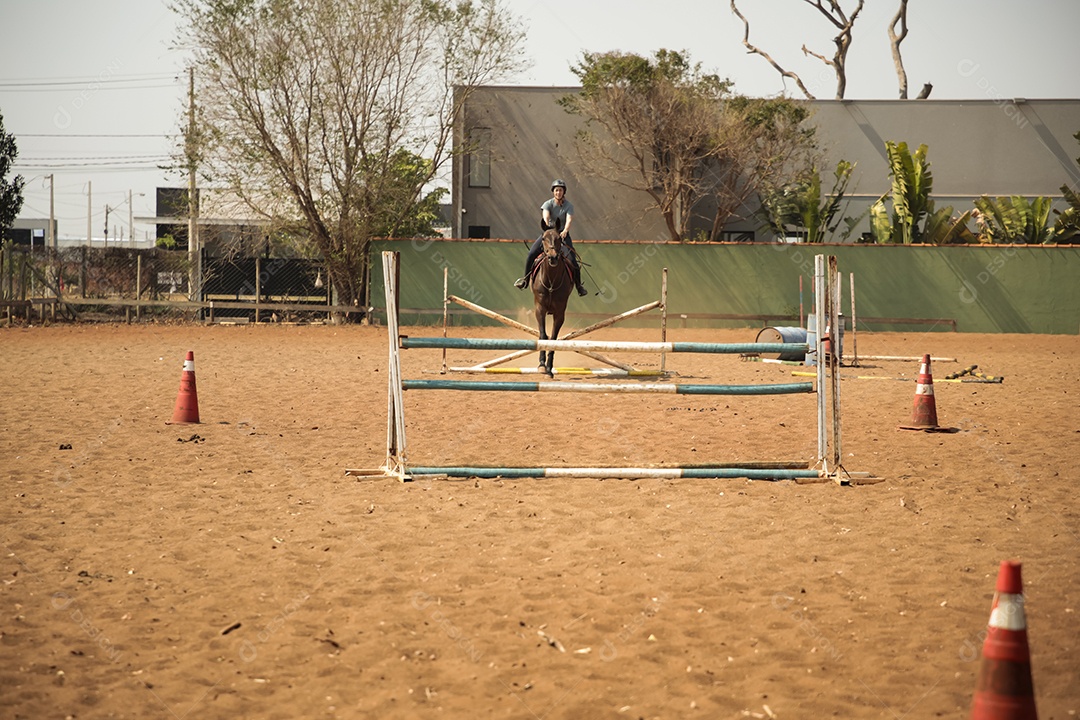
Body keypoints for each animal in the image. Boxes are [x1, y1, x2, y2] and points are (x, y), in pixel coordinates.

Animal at [529, 229, 574, 377]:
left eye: (559, 238)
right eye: (543, 238)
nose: (552, 257)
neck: (551, 283)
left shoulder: (559, 313)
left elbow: (553, 339)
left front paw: (549, 368)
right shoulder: (539, 309)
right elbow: (543, 335)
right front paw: (542, 365)